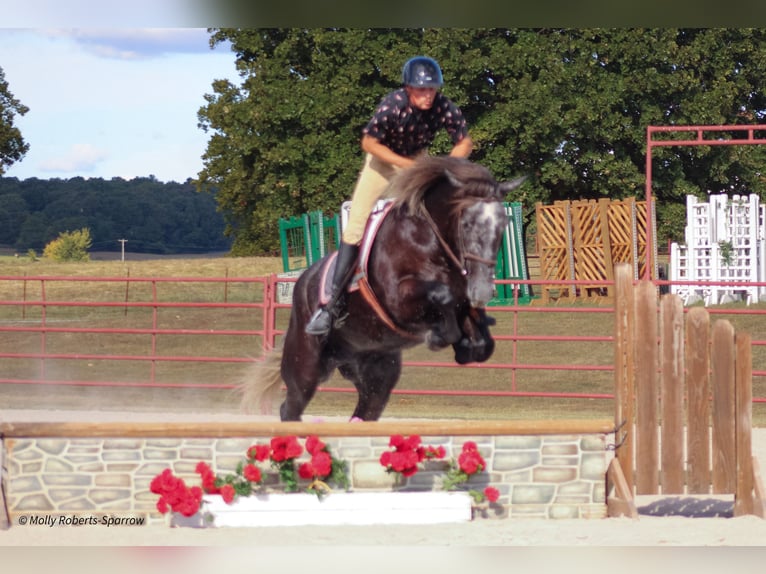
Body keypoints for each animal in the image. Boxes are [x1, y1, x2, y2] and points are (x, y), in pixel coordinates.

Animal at [246, 158, 528, 424]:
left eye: (503, 225)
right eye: (467, 224)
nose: (482, 290)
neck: (428, 239)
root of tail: (302, 282)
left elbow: (479, 341)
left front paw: (466, 345)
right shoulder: (398, 300)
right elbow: (441, 297)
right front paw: (440, 336)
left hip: (374, 371)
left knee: (366, 408)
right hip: (305, 366)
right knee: (290, 408)